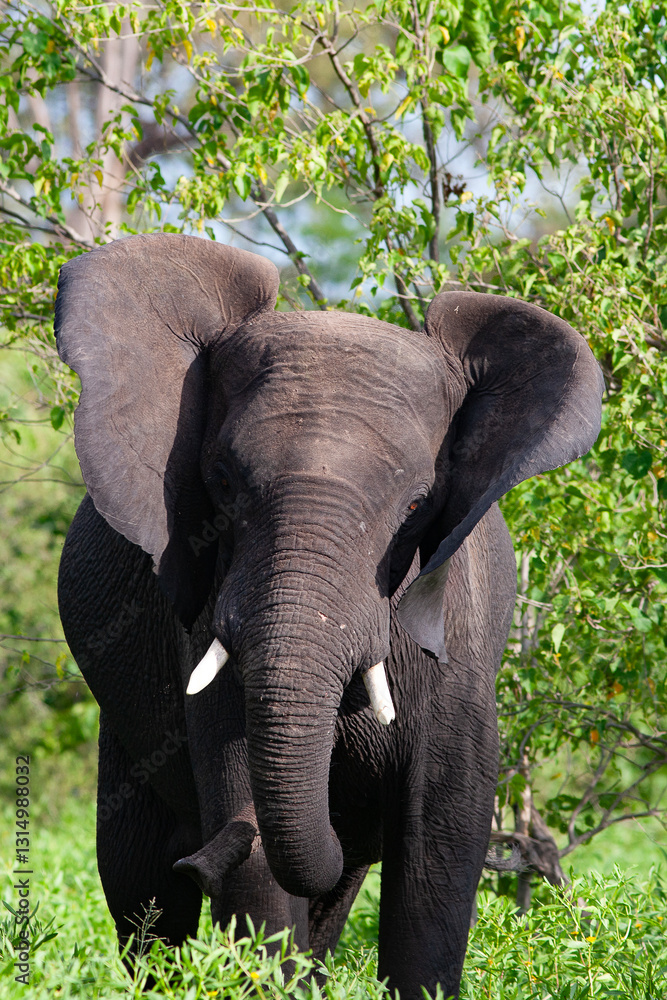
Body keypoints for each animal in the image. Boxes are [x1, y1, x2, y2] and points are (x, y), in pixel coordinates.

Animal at [55, 233, 603, 999]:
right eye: (220, 481)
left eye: (416, 504)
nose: (203, 855)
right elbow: (253, 851)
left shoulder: (460, 650)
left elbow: (436, 859)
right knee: (143, 887)